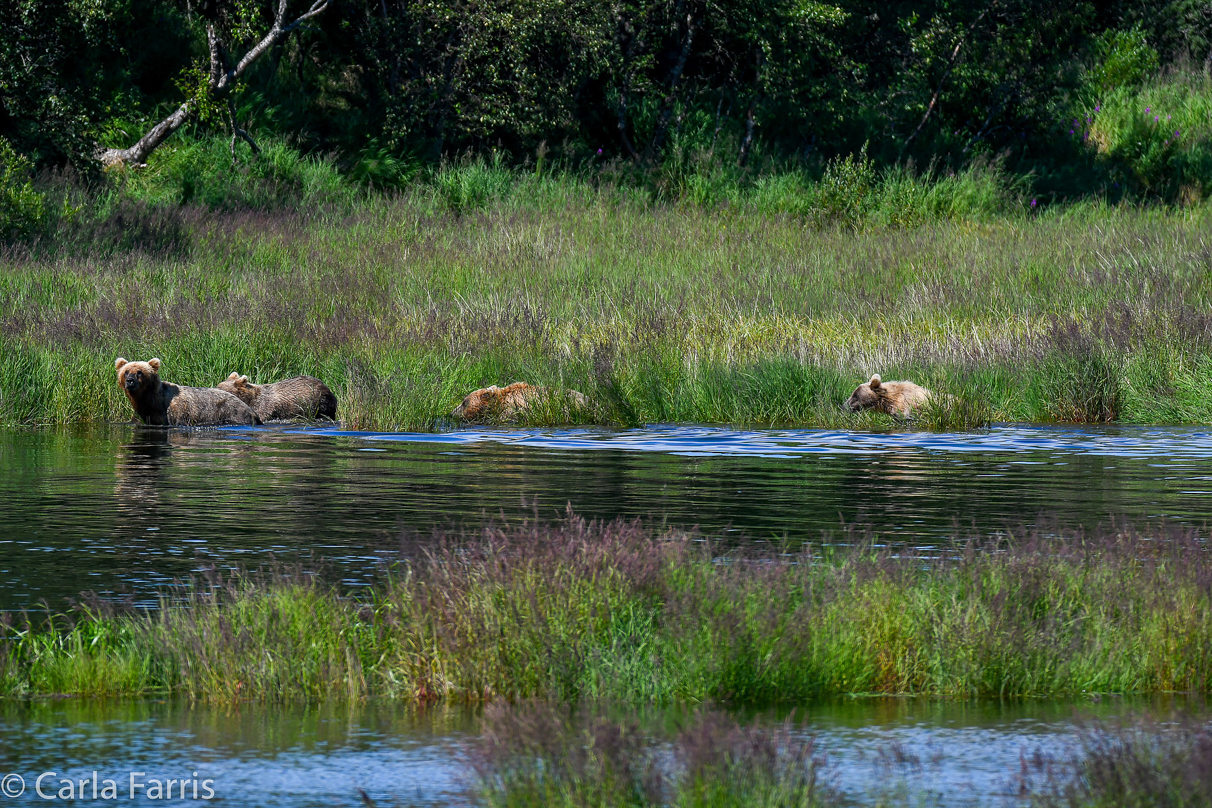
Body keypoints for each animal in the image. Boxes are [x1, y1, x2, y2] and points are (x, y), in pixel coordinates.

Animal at [114, 358, 259, 426]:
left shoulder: (176, 412)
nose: (130, 381)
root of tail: (252, 411)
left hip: (232, 413)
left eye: (139, 372)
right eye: (126, 371)